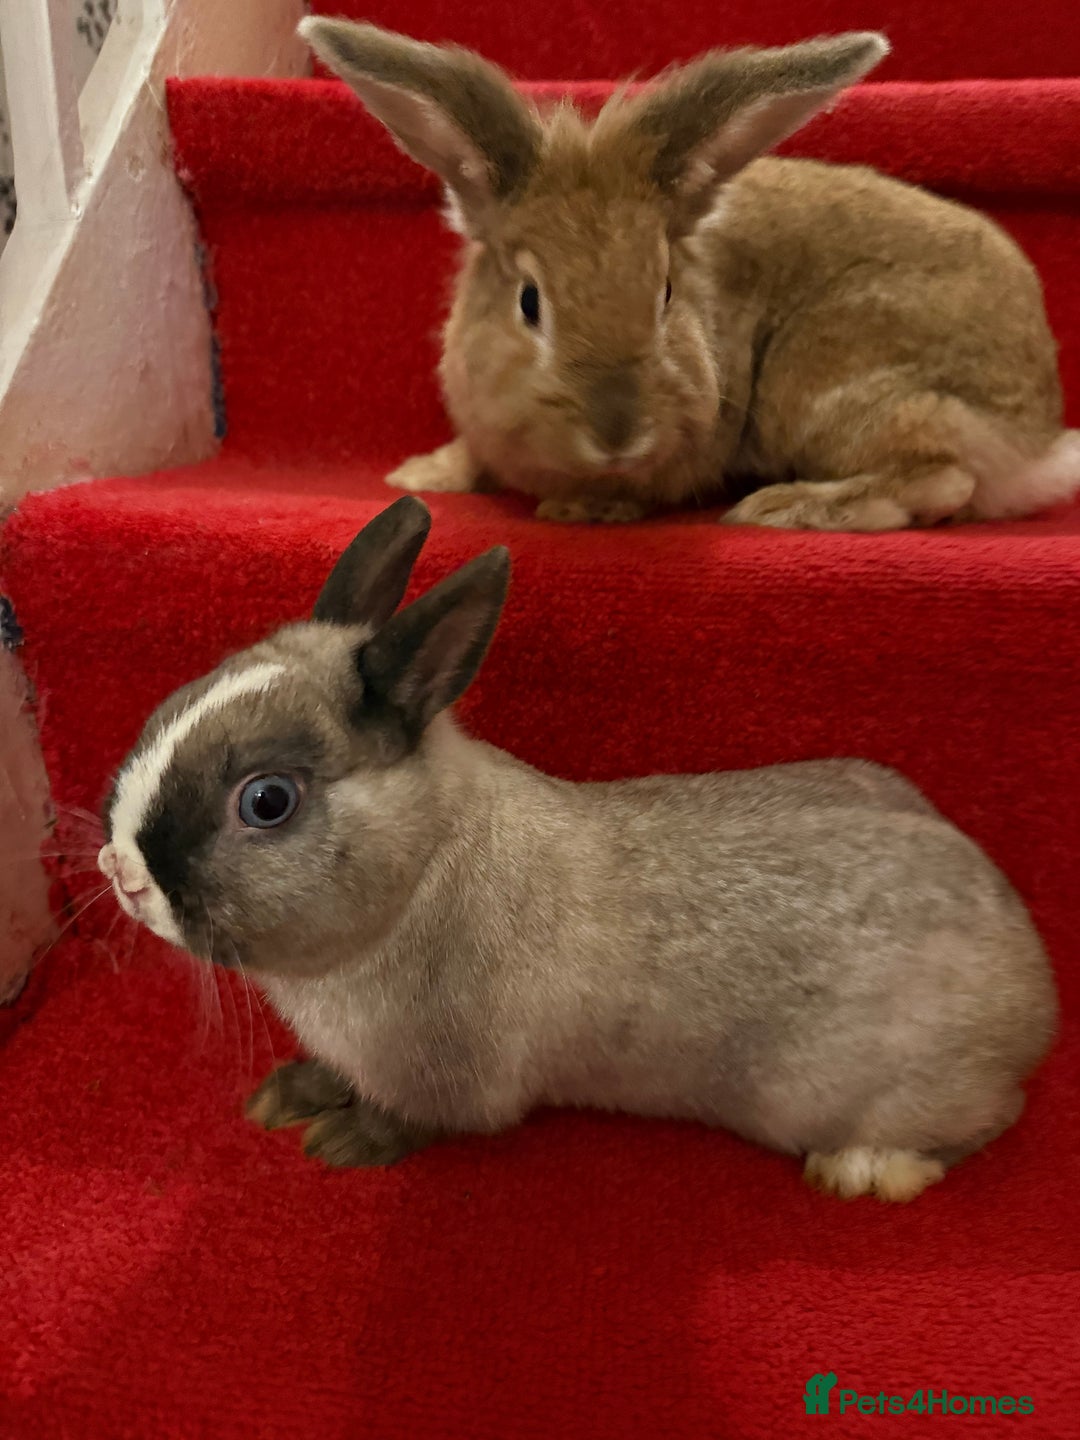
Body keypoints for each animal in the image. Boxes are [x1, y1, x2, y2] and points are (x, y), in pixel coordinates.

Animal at [98, 496, 1056, 1201]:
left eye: (267, 801)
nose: (122, 872)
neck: (419, 870)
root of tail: (1036, 992)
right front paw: (284, 1097)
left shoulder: (443, 1080)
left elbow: (403, 1120)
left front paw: (339, 1142)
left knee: (985, 1122)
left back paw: (863, 1171)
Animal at [298, 18, 1080, 532]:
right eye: (530, 302)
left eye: (665, 294)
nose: (618, 433)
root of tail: (1035, 437)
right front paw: (423, 474)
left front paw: (583, 507)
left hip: (820, 382)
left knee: (945, 477)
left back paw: (789, 507)